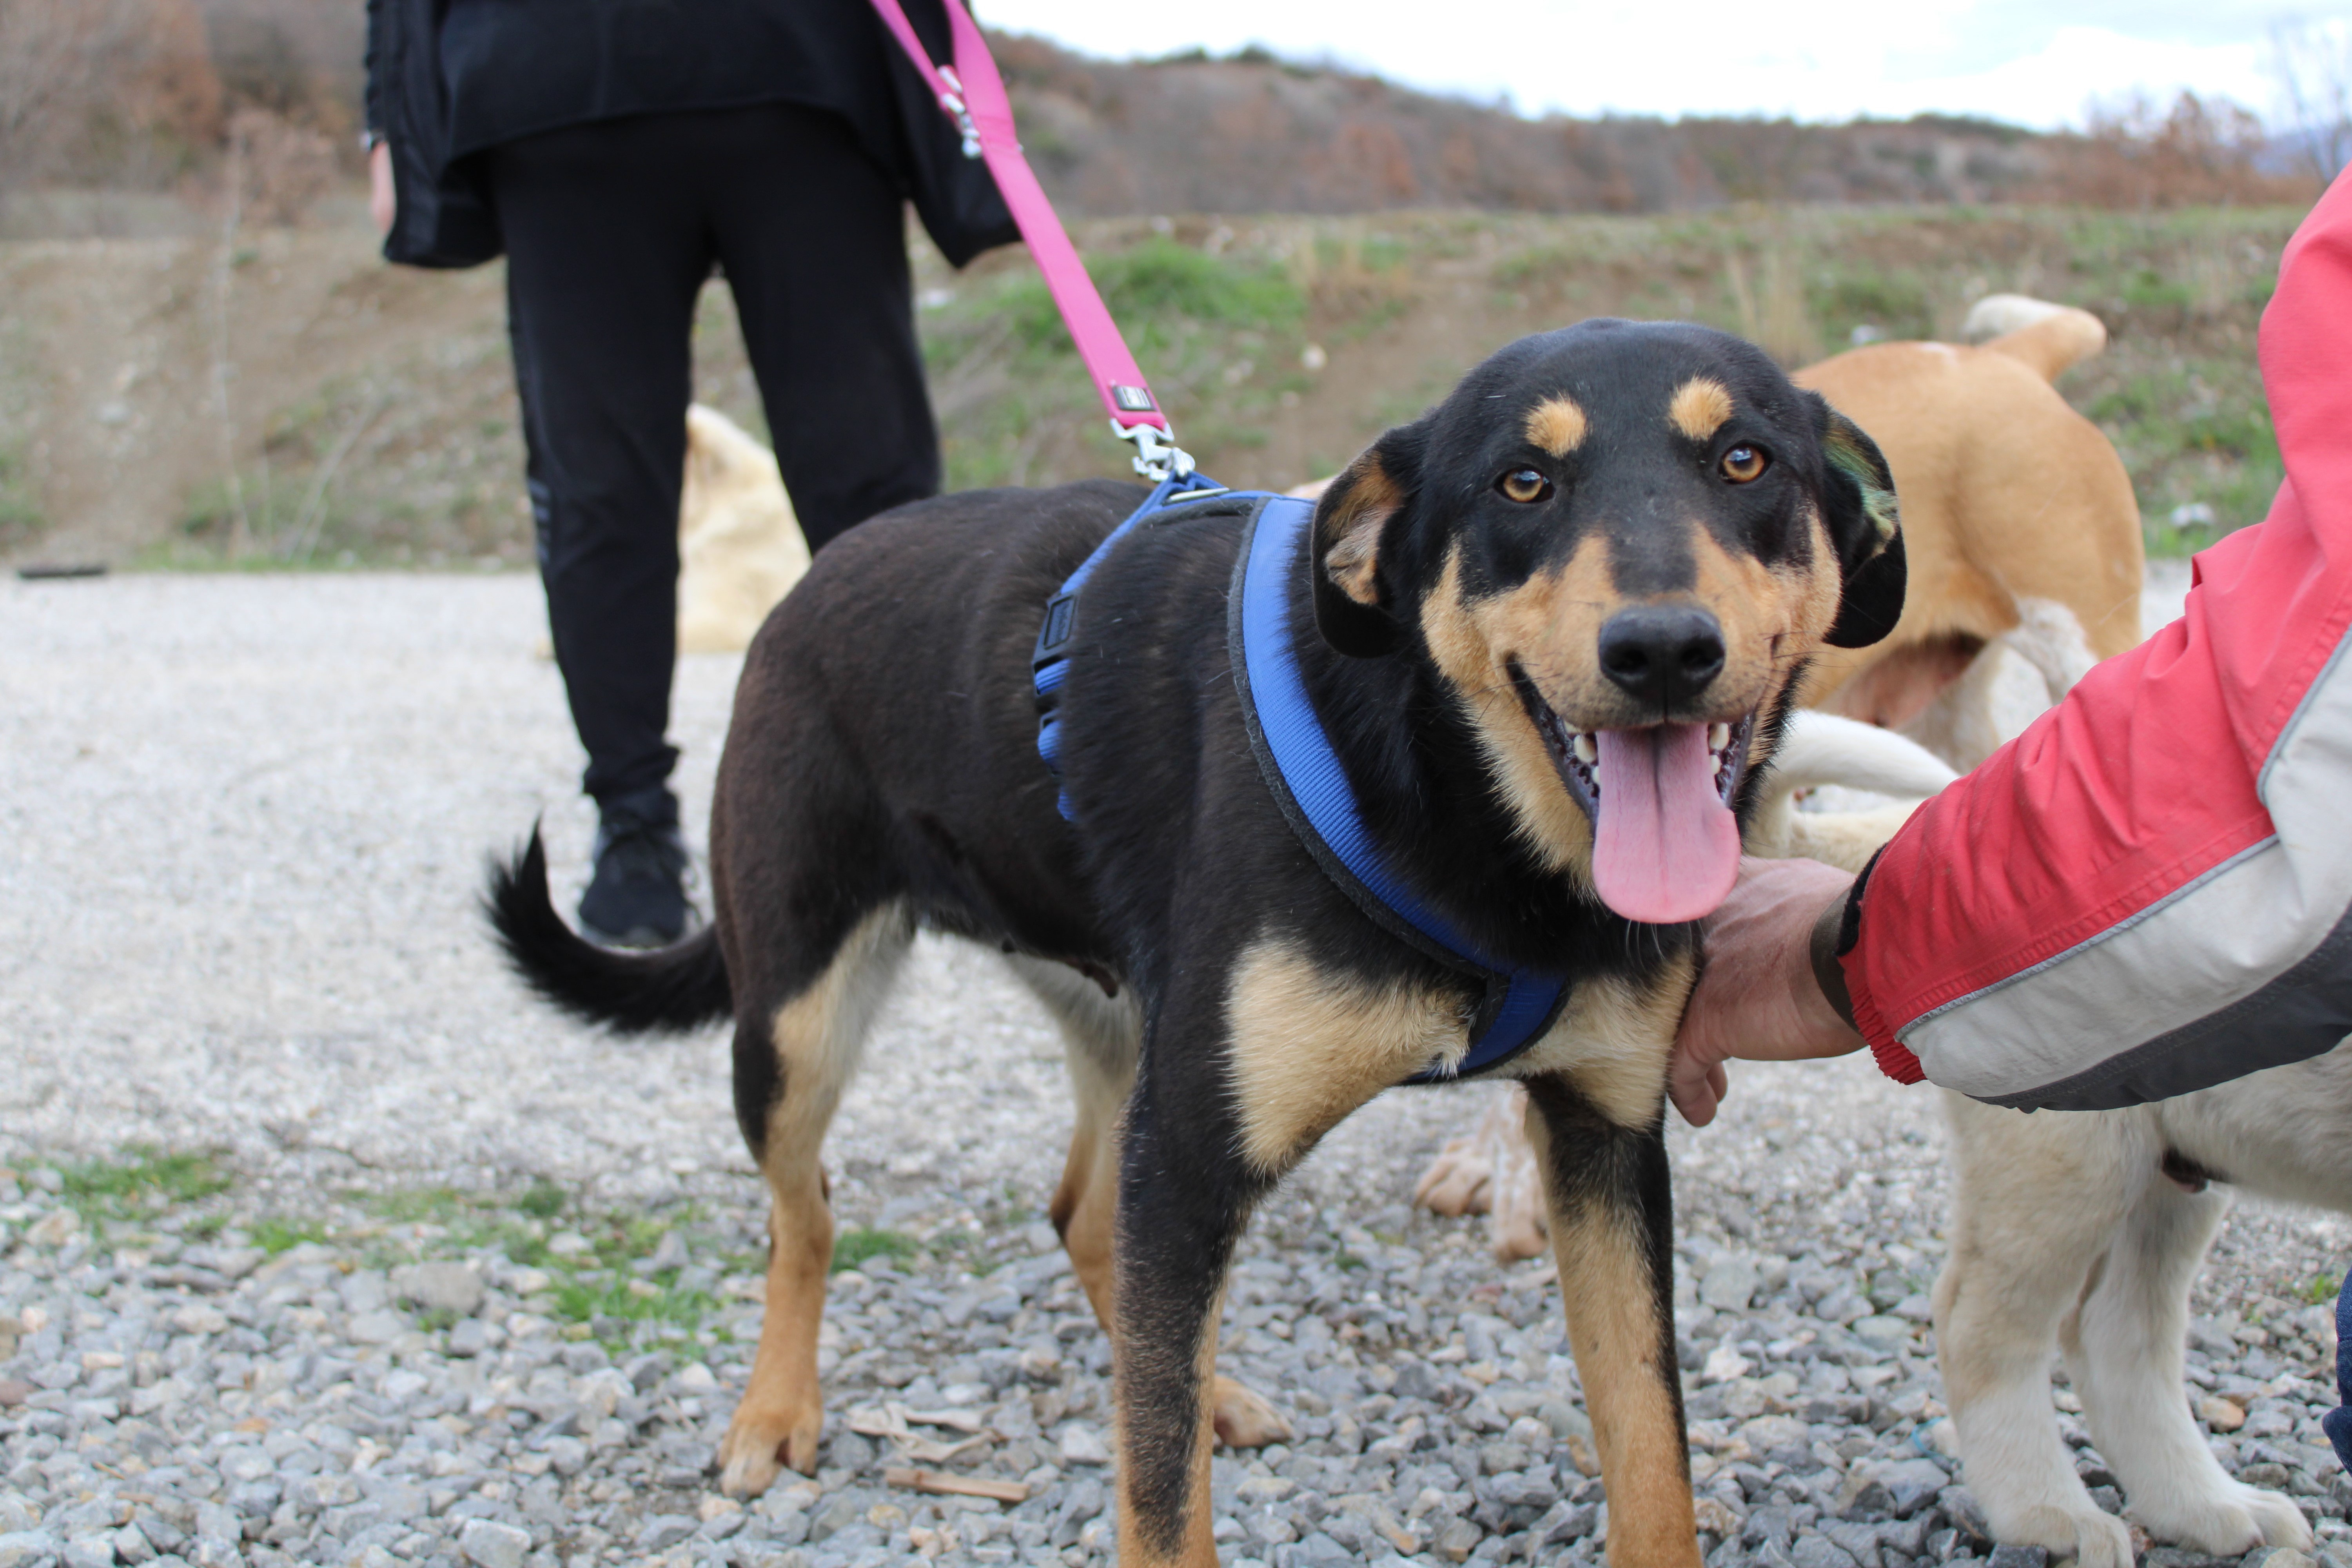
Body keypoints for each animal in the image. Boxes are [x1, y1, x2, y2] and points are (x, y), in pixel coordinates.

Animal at [492, 322, 1891, 1568]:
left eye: (1746, 462)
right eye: (1523, 482)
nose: (1661, 650)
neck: (1463, 816)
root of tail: (814, 574)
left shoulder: (1603, 1136)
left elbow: (1650, 1449)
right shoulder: (1196, 1147)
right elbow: (1159, 1511)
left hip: (1124, 1028)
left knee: (1088, 1229)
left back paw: (1197, 1390)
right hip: (796, 1021)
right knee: (810, 1217)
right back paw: (774, 1412)